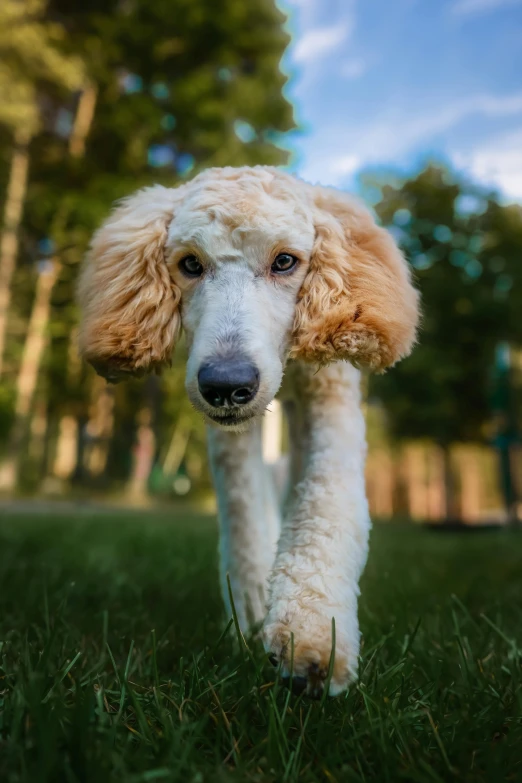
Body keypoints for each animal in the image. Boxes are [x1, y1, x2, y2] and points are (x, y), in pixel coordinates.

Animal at [78, 165, 418, 700]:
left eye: (285, 261)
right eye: (190, 264)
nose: (226, 386)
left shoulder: (331, 395)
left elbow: (328, 506)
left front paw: (313, 637)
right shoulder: (230, 434)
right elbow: (243, 514)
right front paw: (254, 611)